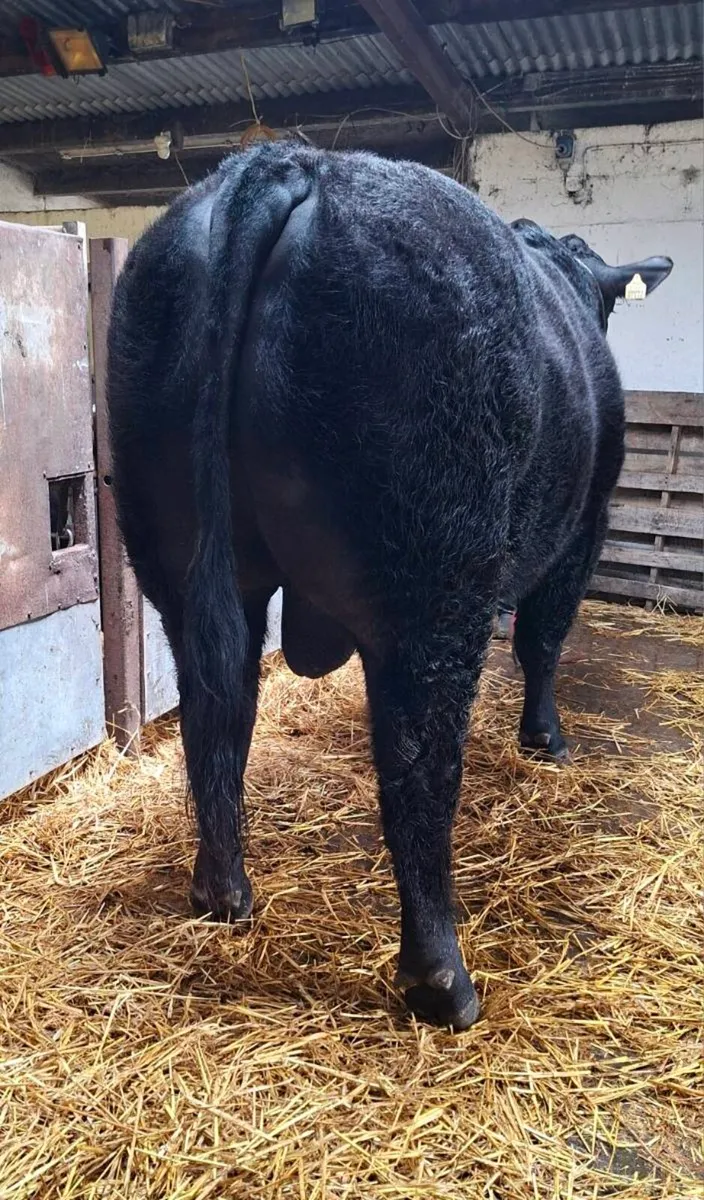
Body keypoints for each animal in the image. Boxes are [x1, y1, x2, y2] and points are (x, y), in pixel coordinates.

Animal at [107, 142, 672, 1030]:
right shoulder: (587, 523)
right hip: (432, 581)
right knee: (419, 759)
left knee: (216, 712)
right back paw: (443, 980)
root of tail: (292, 162)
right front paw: (546, 739)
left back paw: (223, 893)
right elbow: (543, 639)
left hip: (177, 557)